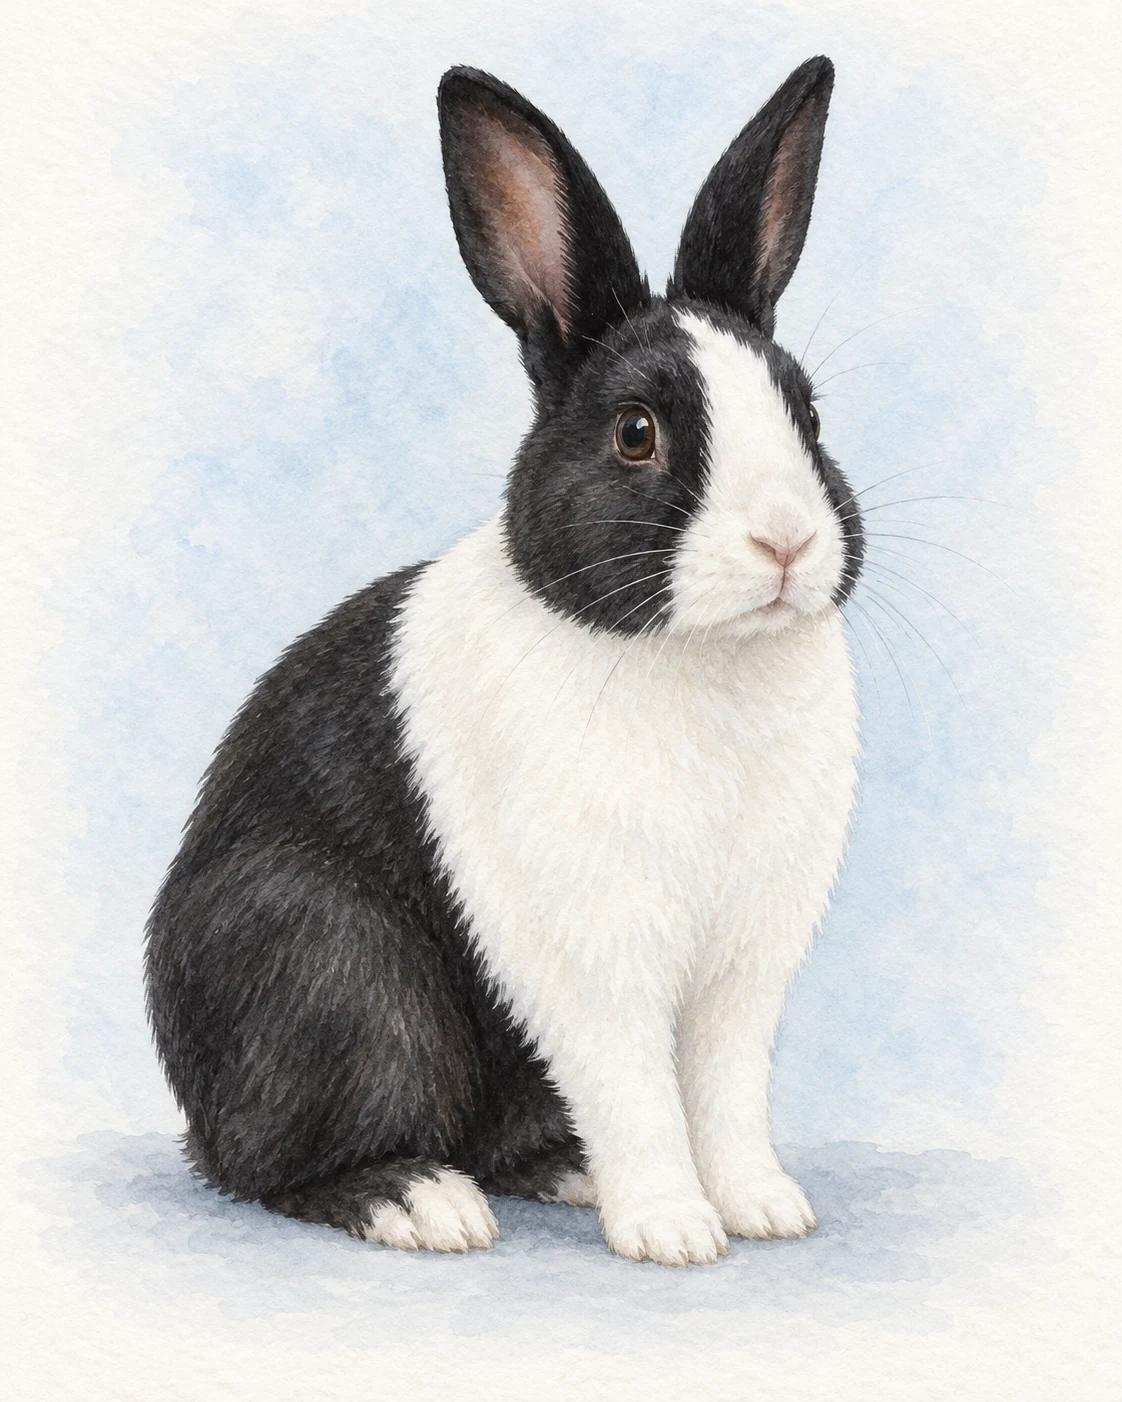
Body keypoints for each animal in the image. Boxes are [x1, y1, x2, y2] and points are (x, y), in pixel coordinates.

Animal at [144, 56, 864, 1267]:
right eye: (635, 433)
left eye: (808, 416)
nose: (786, 543)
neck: (697, 659)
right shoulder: (594, 953)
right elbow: (636, 1085)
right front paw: (675, 1230)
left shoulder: (742, 968)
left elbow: (724, 1090)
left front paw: (764, 1208)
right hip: (331, 967)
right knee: (273, 1163)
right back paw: (419, 1200)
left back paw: (562, 1172)